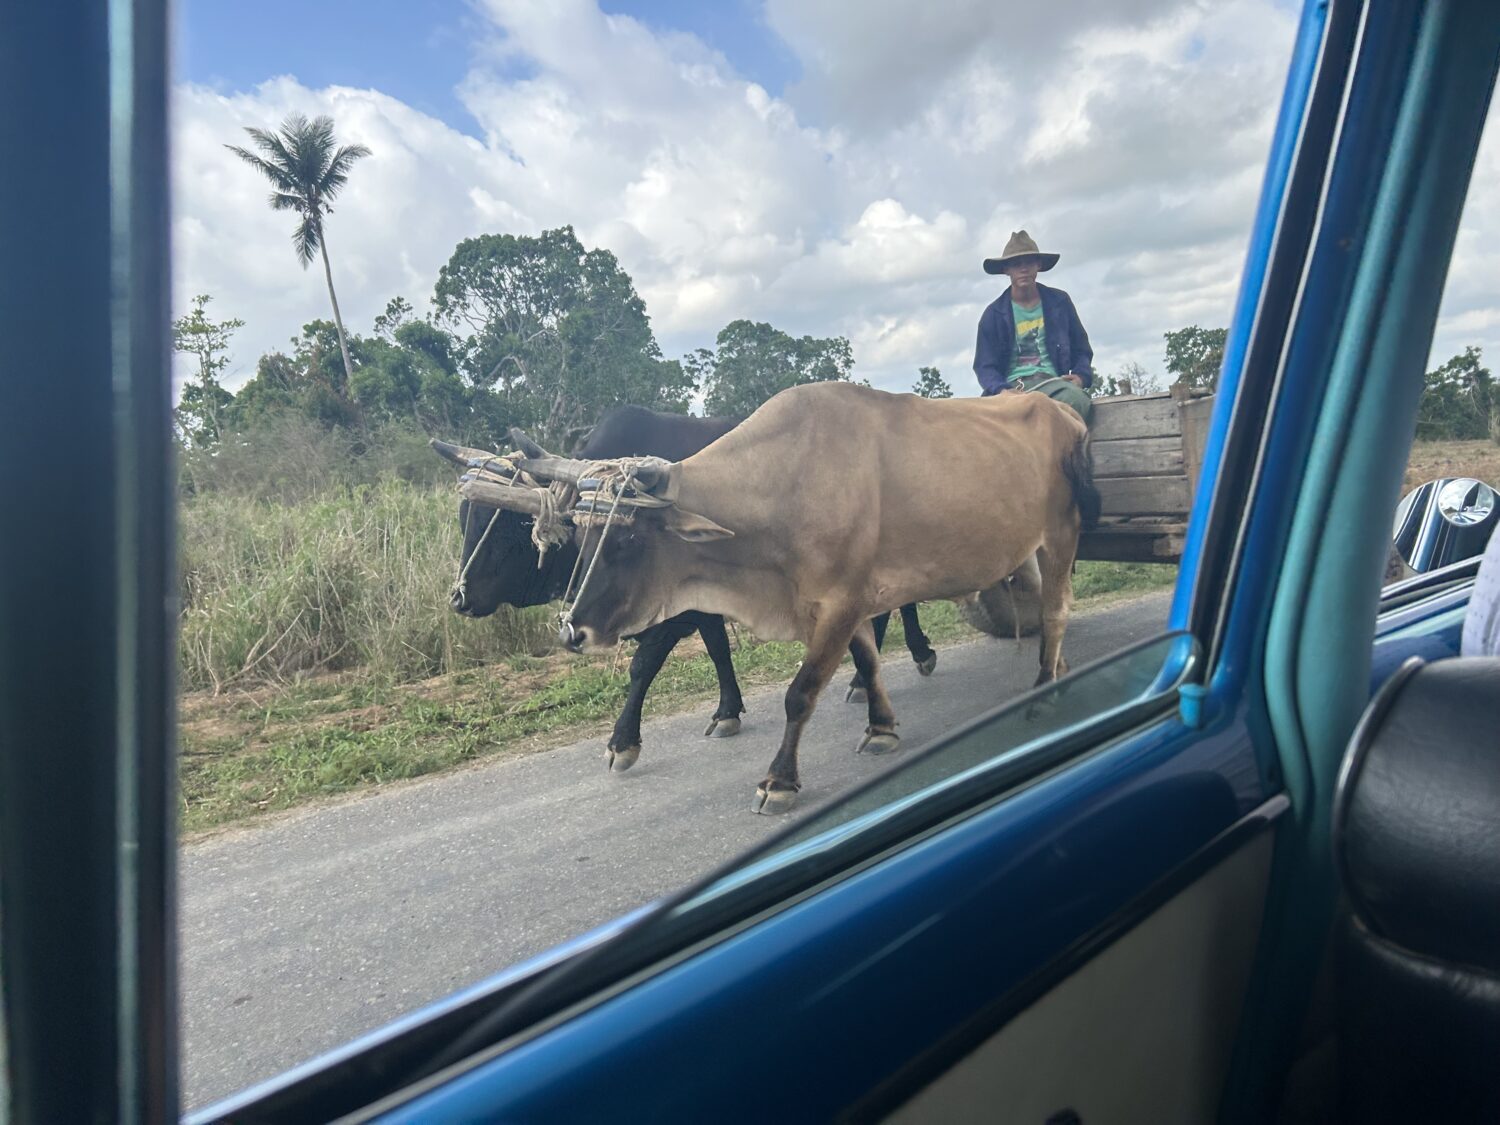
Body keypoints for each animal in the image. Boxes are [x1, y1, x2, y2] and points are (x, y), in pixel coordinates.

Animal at [432, 404, 935, 773]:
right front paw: (728, 711)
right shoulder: (703, 607)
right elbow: (717, 650)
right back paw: (861, 679)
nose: (460, 598)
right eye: (464, 518)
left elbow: (642, 666)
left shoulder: (672, 615)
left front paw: (622, 742)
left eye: (506, 527)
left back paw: (917, 655)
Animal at [487, 382, 1100, 814]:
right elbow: (867, 662)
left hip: (1061, 534)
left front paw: (780, 780)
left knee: (1057, 608)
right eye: (583, 535)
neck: (787, 484)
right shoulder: (840, 605)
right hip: (1029, 545)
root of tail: (1061, 410)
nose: (573, 632)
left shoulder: (839, 603)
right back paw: (1058, 666)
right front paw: (881, 727)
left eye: (627, 540)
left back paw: (1044, 687)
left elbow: (800, 694)